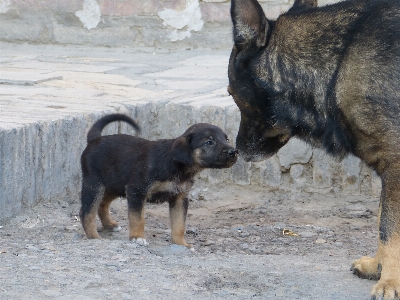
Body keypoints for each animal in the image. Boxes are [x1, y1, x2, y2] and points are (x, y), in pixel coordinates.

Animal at [80, 113, 238, 247]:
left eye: (226, 139)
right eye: (209, 142)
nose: (234, 152)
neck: (174, 164)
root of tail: (94, 140)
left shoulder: (180, 198)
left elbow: (179, 224)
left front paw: (181, 244)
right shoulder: (137, 191)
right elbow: (137, 219)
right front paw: (137, 238)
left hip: (115, 185)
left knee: (102, 204)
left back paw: (109, 225)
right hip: (94, 185)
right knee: (87, 212)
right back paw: (94, 237)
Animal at [228, 0, 400, 298]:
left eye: (230, 93)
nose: (237, 151)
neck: (339, 65)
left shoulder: (395, 166)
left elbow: (388, 229)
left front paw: (389, 281)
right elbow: (382, 220)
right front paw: (379, 267)